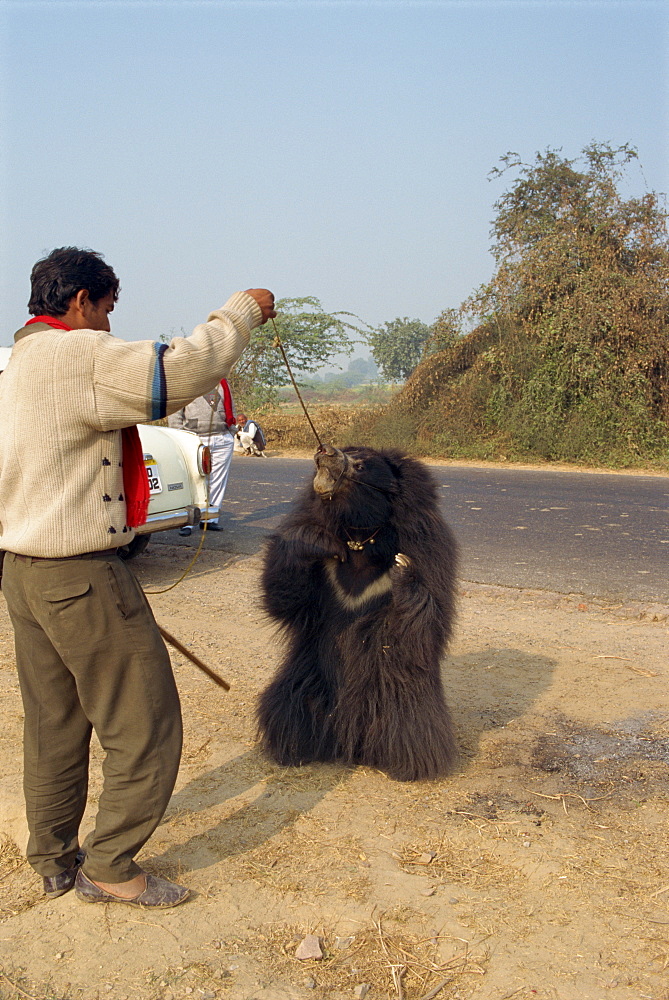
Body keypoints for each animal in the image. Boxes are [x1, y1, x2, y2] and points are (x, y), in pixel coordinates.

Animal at [258, 444, 460, 780]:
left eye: (361, 464)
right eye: (346, 451)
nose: (323, 451)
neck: (360, 537)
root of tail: (351, 745)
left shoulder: (431, 551)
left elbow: (423, 629)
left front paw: (402, 568)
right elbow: (286, 598)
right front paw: (314, 541)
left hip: (393, 691)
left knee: (407, 726)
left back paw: (406, 766)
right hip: (310, 674)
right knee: (290, 707)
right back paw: (294, 749)